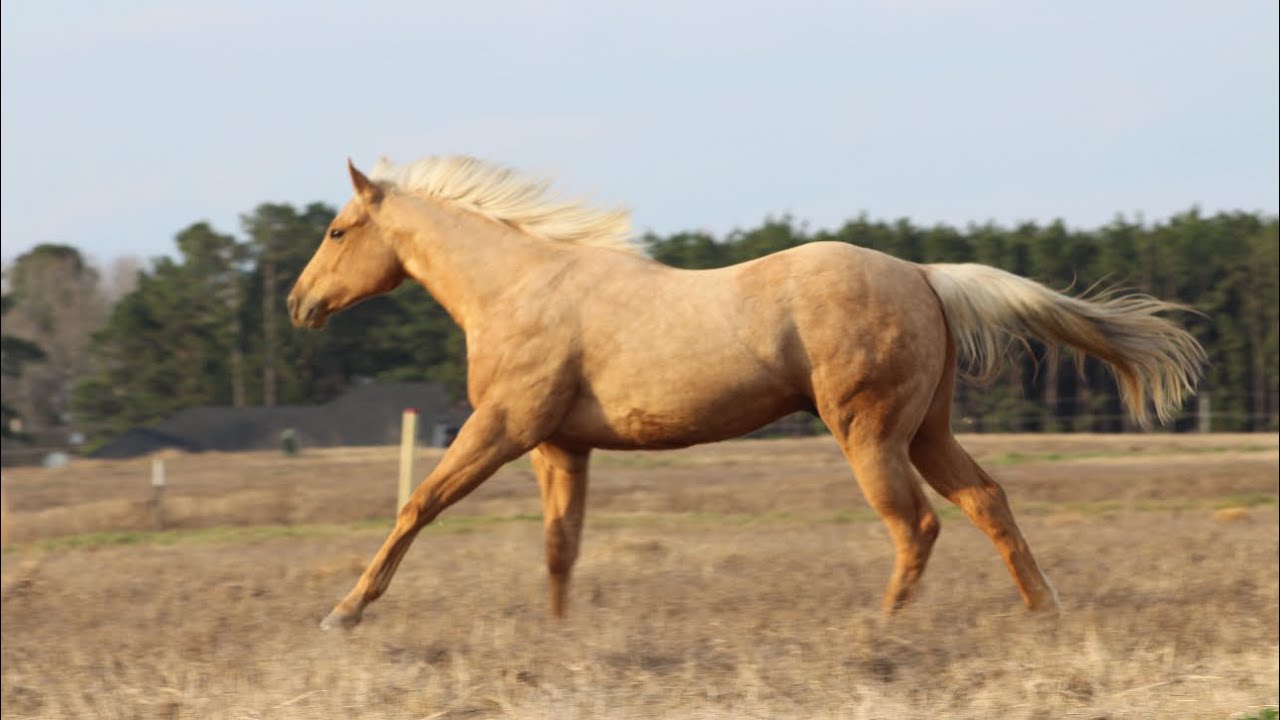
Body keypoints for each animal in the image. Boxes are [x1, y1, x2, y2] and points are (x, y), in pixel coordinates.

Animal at [288, 156, 1205, 630]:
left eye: (336, 230)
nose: (300, 304)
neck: (519, 287)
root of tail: (923, 273)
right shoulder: (561, 445)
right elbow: (559, 547)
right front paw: (559, 635)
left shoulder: (504, 427)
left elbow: (419, 505)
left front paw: (345, 611)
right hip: (926, 431)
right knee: (986, 501)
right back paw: (1045, 613)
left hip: (869, 433)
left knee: (916, 524)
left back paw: (877, 632)